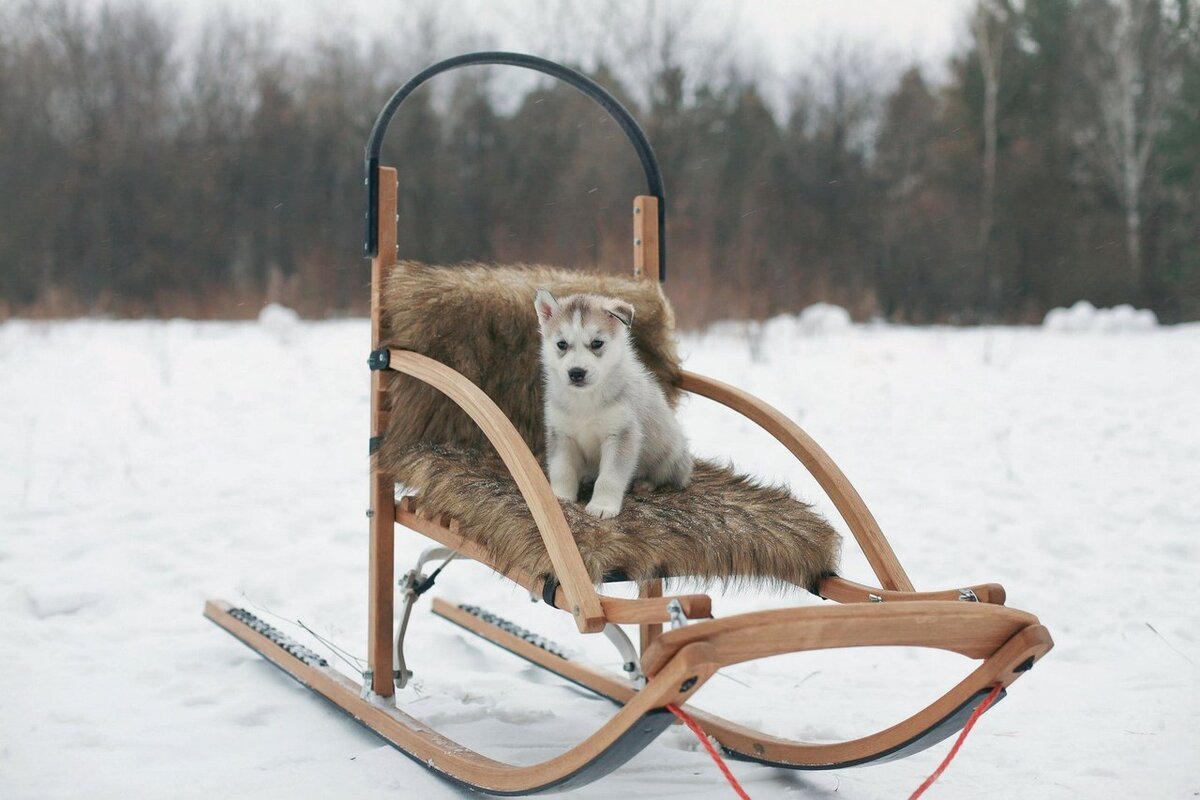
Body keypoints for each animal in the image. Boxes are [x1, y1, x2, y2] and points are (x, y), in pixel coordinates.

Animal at [532, 287, 691, 520]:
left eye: (597, 343)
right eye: (561, 344)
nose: (576, 373)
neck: (585, 400)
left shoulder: (621, 434)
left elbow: (609, 477)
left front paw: (602, 506)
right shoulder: (561, 434)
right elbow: (562, 470)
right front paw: (560, 497)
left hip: (669, 456)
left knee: (666, 478)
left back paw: (645, 484)